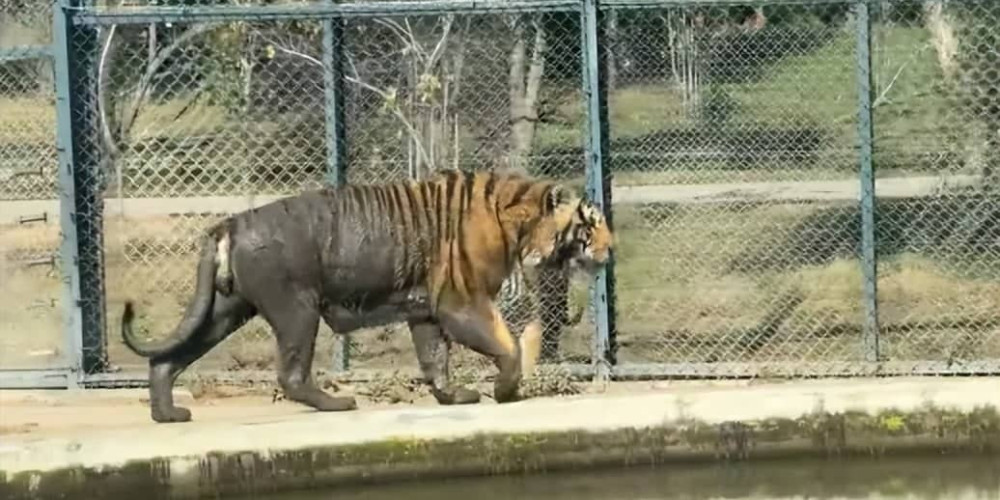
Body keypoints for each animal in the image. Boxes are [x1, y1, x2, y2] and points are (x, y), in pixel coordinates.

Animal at [120, 168, 613, 423]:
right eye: (590, 223)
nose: (611, 250)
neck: (518, 223)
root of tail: (231, 222)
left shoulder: (426, 310)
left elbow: (435, 357)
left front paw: (453, 397)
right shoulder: (463, 301)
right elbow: (505, 346)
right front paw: (505, 390)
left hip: (225, 311)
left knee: (167, 359)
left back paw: (167, 414)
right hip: (296, 309)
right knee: (291, 373)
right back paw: (337, 404)